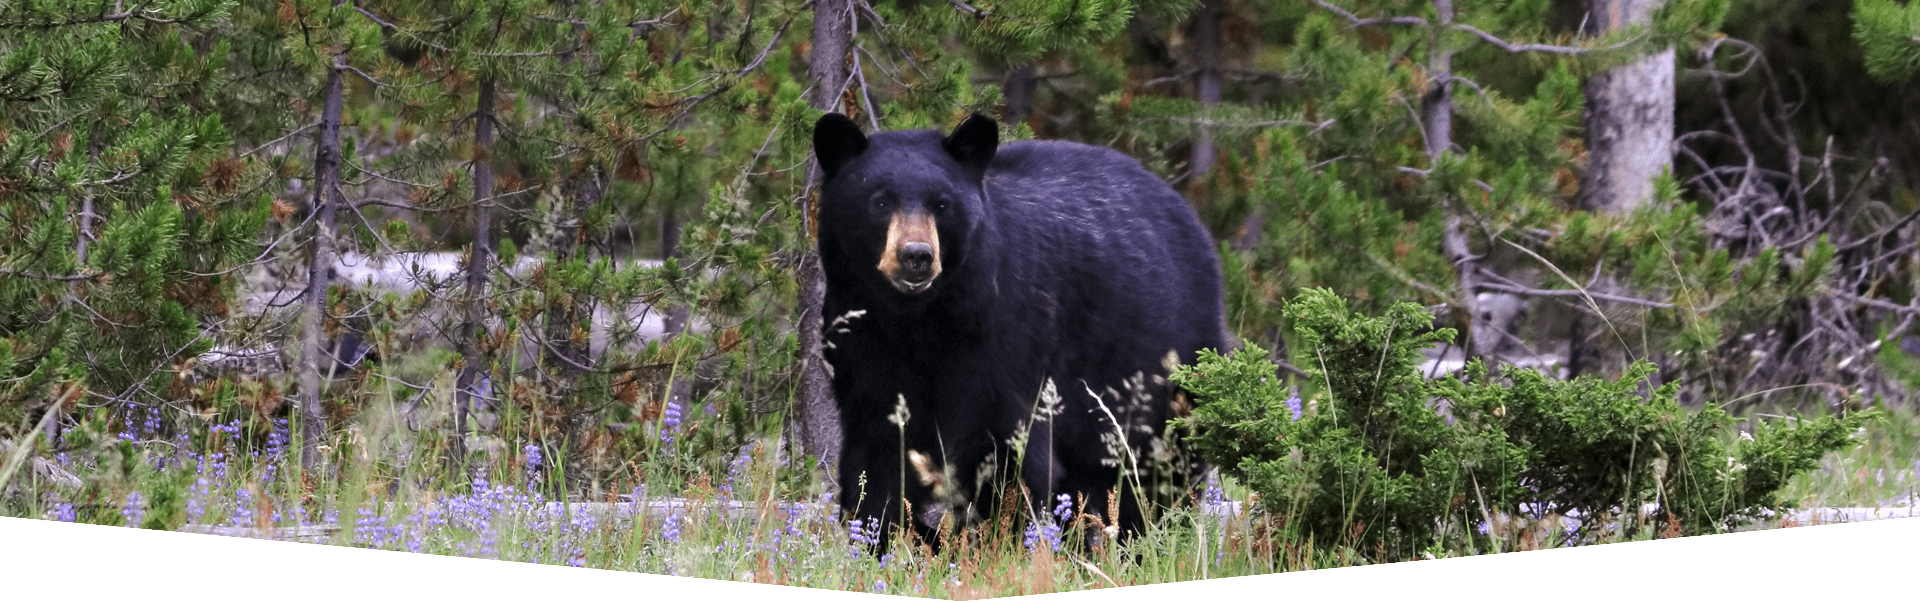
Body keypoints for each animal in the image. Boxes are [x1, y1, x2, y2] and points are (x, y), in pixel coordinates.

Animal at [810, 111, 1228, 552]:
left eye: (942, 203)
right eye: (880, 201)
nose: (916, 256)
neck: (923, 320)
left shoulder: (1005, 335)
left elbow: (1006, 450)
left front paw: (1000, 541)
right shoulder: (862, 337)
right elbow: (880, 448)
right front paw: (879, 542)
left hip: (1165, 361)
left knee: (1160, 470)